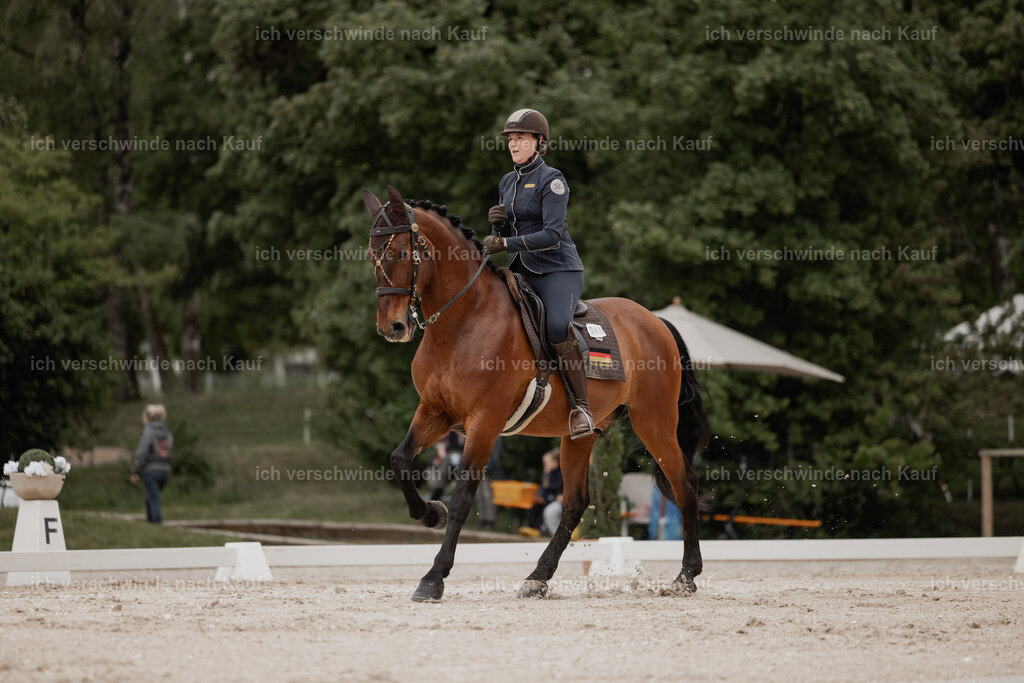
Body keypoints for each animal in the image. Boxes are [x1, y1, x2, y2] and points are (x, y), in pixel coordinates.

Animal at [363, 185, 710, 601]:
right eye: (371, 255)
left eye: (401, 253)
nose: (393, 327)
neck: (462, 323)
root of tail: (655, 320)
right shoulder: (435, 411)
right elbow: (400, 459)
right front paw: (431, 512)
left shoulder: (484, 422)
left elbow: (463, 496)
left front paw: (433, 578)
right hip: (580, 434)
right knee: (575, 503)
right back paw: (537, 577)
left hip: (654, 421)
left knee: (684, 484)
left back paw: (686, 576)